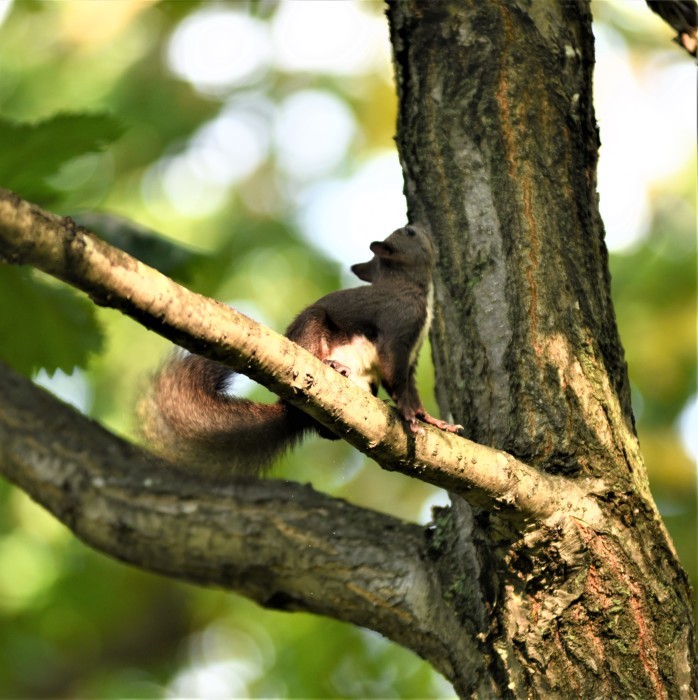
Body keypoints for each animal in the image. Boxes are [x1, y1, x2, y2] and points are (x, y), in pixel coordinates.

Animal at [139, 226, 460, 482]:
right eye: (409, 232)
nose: (424, 226)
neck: (408, 286)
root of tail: (292, 409)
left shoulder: (412, 353)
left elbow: (410, 387)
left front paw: (431, 419)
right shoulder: (397, 328)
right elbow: (396, 375)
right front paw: (408, 414)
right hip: (312, 328)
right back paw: (333, 366)